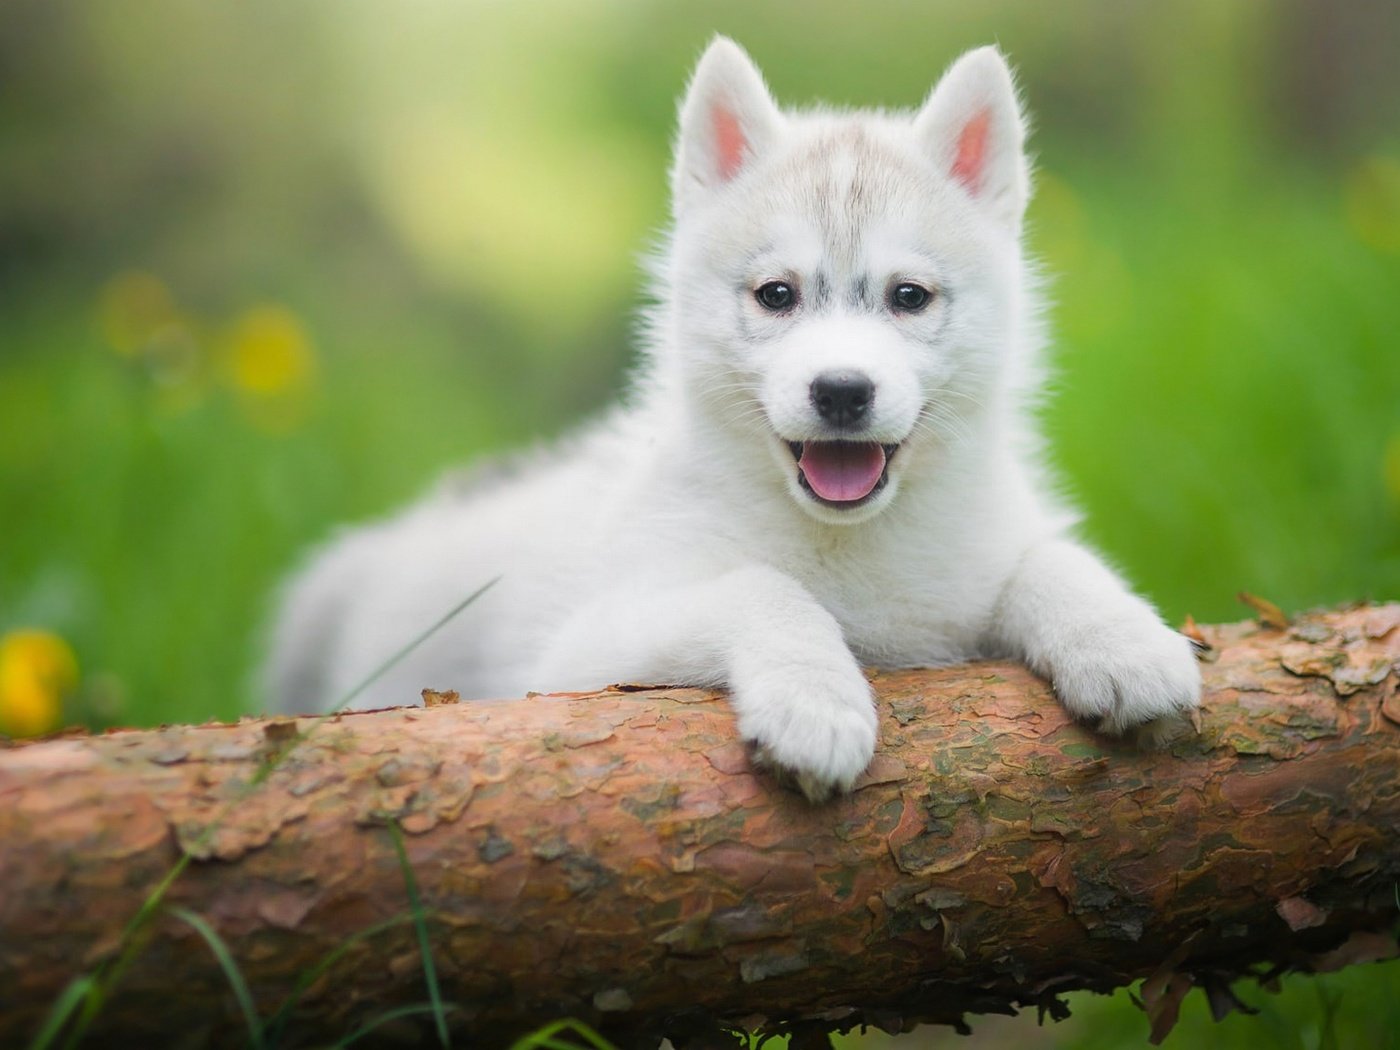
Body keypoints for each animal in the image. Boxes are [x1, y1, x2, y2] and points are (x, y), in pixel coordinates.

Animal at [264, 37, 1204, 800]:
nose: (842, 392)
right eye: (776, 295)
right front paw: (815, 700)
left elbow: (1048, 558)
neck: (846, 548)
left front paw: (1125, 640)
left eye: (909, 296)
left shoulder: (975, 565)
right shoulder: (586, 650)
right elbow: (761, 588)